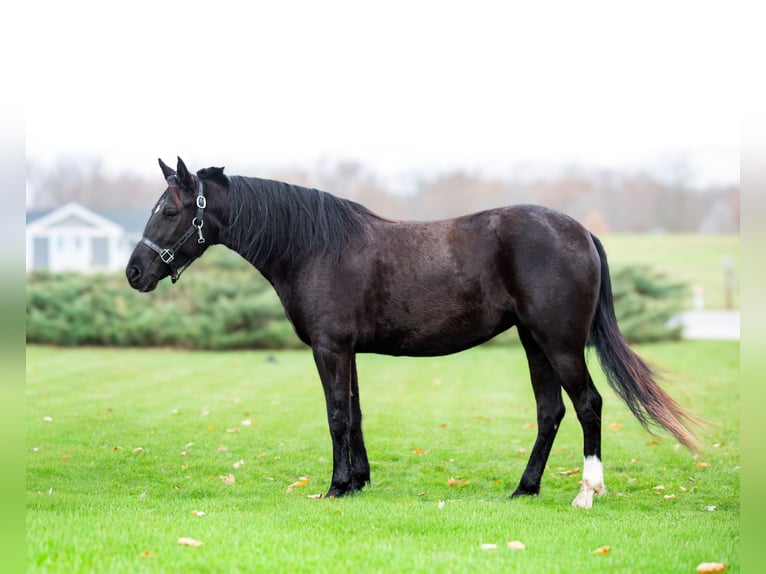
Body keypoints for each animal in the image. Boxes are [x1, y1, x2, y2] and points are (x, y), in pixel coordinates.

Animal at [126, 157, 697, 508]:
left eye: (171, 210)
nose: (134, 273)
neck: (314, 247)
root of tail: (580, 231)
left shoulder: (330, 349)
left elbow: (336, 416)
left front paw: (335, 488)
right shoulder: (349, 350)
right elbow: (355, 414)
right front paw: (358, 483)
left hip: (559, 343)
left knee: (588, 405)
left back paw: (586, 491)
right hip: (533, 342)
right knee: (550, 411)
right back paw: (524, 489)